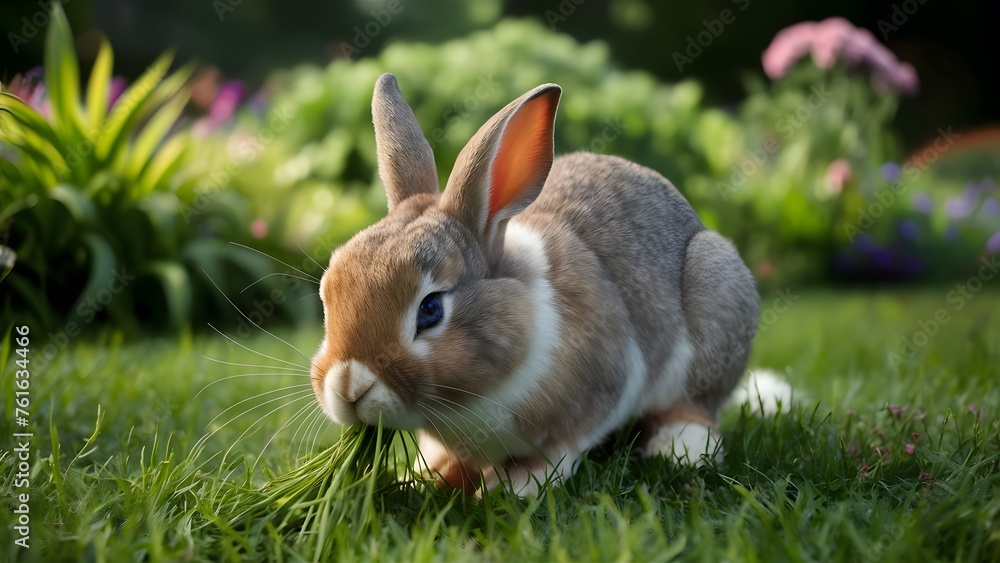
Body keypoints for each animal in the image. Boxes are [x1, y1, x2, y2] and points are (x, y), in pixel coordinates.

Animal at [309, 73, 760, 496]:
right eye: (327, 293)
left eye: (431, 310)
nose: (349, 386)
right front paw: (428, 474)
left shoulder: (601, 388)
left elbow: (563, 448)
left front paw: (514, 485)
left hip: (713, 311)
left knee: (695, 407)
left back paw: (678, 446)